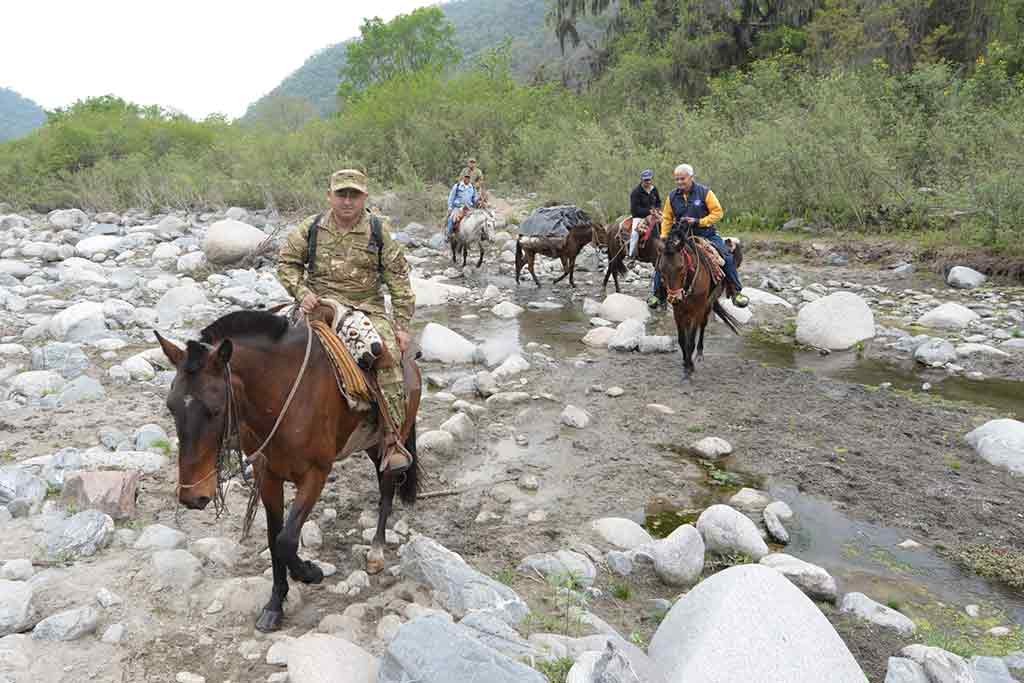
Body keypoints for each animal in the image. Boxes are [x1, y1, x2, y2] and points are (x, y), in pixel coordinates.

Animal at [155, 309, 419, 630]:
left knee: (387, 487)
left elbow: (287, 539)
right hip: (369, 444)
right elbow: (274, 538)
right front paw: (275, 605)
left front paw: (309, 572)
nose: (192, 496)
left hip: (391, 440)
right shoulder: (267, 476)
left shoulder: (316, 475)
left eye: (215, 410)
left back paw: (377, 550)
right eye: (171, 407)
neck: (283, 395)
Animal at [655, 229, 745, 378]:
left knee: (703, 325)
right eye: (661, 269)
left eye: (681, 267)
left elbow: (690, 341)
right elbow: (682, 340)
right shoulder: (678, 312)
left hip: (708, 303)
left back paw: (700, 353)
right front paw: (685, 362)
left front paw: (689, 367)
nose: (674, 298)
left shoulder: (697, 310)